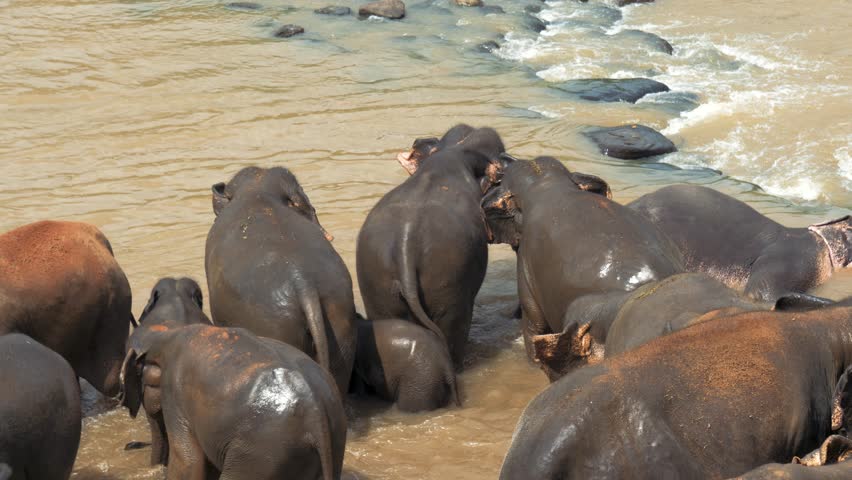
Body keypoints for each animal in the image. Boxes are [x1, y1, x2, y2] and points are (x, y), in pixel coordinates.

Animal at [120, 323, 346, 480]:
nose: (130, 445)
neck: (165, 335)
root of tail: (316, 411)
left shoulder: (174, 391)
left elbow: (188, 461)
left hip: (263, 450)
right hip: (330, 440)